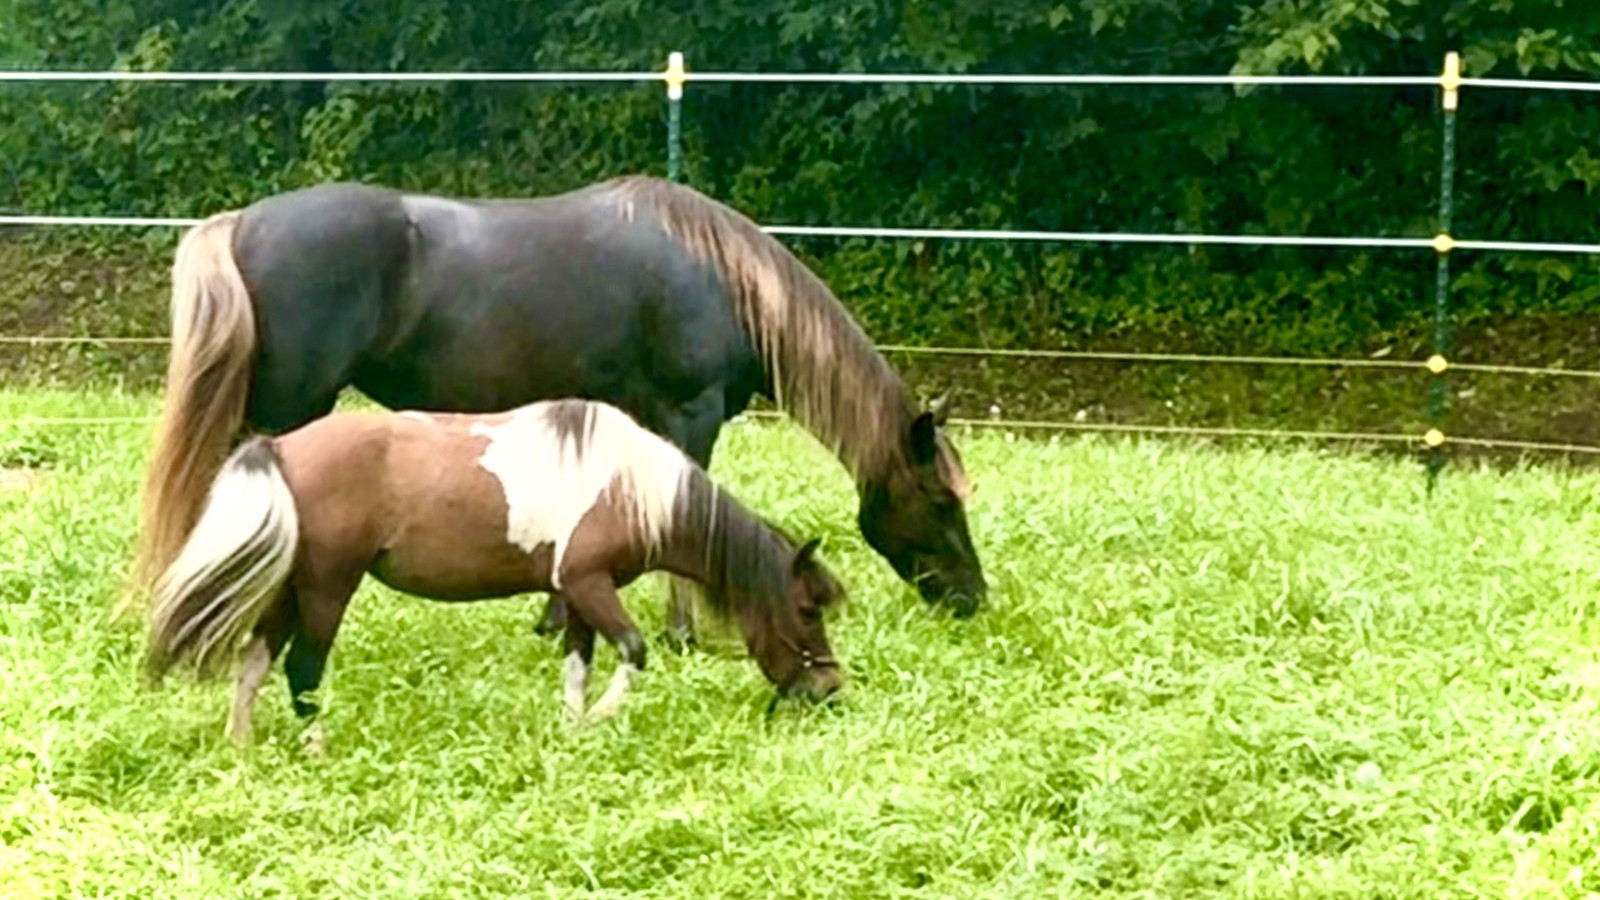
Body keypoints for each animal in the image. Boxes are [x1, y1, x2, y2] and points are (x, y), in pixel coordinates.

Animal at [129, 175, 985, 649]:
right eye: (941, 501)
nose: (972, 600)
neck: (719, 278)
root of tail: (240, 221)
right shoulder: (690, 415)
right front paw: (682, 633)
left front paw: (554, 619)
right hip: (286, 407)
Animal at [140, 398, 846, 750]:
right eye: (808, 609)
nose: (830, 688)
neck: (629, 484)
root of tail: (280, 447)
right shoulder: (588, 584)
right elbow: (634, 651)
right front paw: (600, 721)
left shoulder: (575, 595)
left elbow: (578, 667)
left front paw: (571, 734)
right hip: (326, 588)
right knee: (302, 671)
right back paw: (317, 750)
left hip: (290, 587)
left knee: (254, 660)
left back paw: (241, 750)